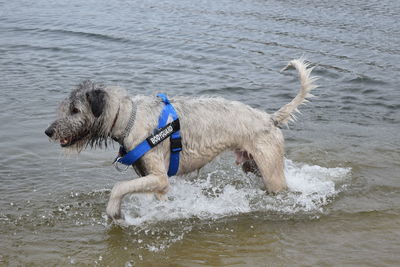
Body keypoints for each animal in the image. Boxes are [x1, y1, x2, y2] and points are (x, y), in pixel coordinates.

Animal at [45, 58, 318, 224]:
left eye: (75, 110)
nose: (48, 131)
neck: (129, 117)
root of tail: (269, 118)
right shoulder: (154, 181)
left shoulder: (159, 176)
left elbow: (119, 187)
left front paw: (114, 211)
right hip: (253, 165)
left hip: (270, 169)